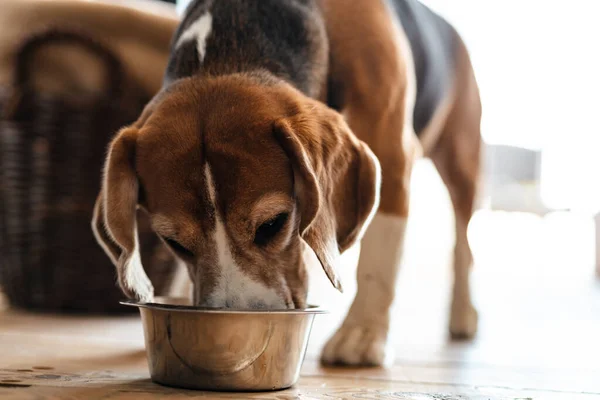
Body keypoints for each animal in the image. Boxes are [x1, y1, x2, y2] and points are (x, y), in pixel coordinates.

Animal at [91, 0, 480, 366]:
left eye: (272, 225)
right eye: (174, 243)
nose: (234, 328)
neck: (230, 48)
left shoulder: (392, 153)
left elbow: (378, 262)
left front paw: (362, 336)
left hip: (462, 161)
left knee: (464, 240)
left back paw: (463, 315)